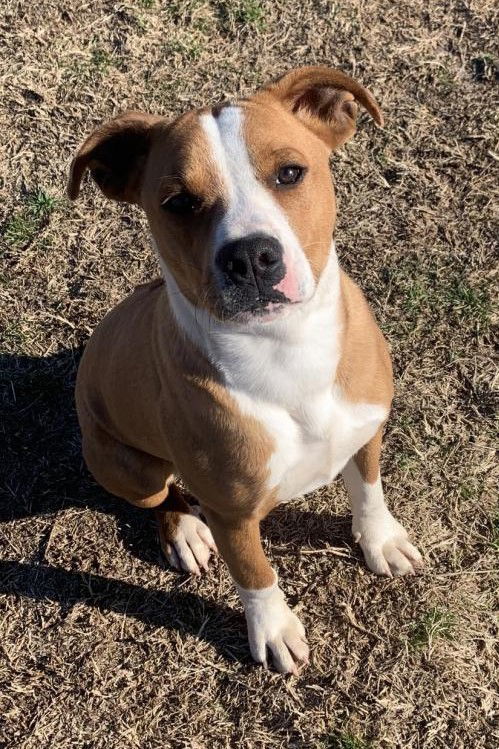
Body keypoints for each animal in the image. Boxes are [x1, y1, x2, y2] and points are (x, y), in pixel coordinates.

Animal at [68, 67, 424, 676]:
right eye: (178, 202)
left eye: (290, 172)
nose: (251, 257)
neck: (285, 350)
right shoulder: (232, 514)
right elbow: (255, 573)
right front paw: (274, 629)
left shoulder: (367, 431)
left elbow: (370, 490)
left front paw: (381, 540)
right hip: (127, 467)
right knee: (162, 495)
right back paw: (184, 531)